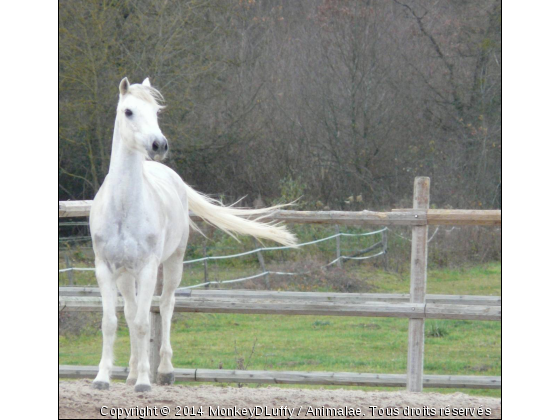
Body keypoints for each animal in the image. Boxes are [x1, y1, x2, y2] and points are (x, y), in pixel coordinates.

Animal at [89, 77, 296, 392]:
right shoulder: (104, 267)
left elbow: (143, 324)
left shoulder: (149, 268)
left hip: (173, 263)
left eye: (156, 111)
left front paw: (145, 383)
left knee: (166, 306)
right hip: (125, 274)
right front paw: (102, 378)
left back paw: (163, 372)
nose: (159, 144)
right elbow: (111, 322)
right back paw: (131, 373)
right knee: (131, 312)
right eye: (128, 111)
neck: (123, 206)